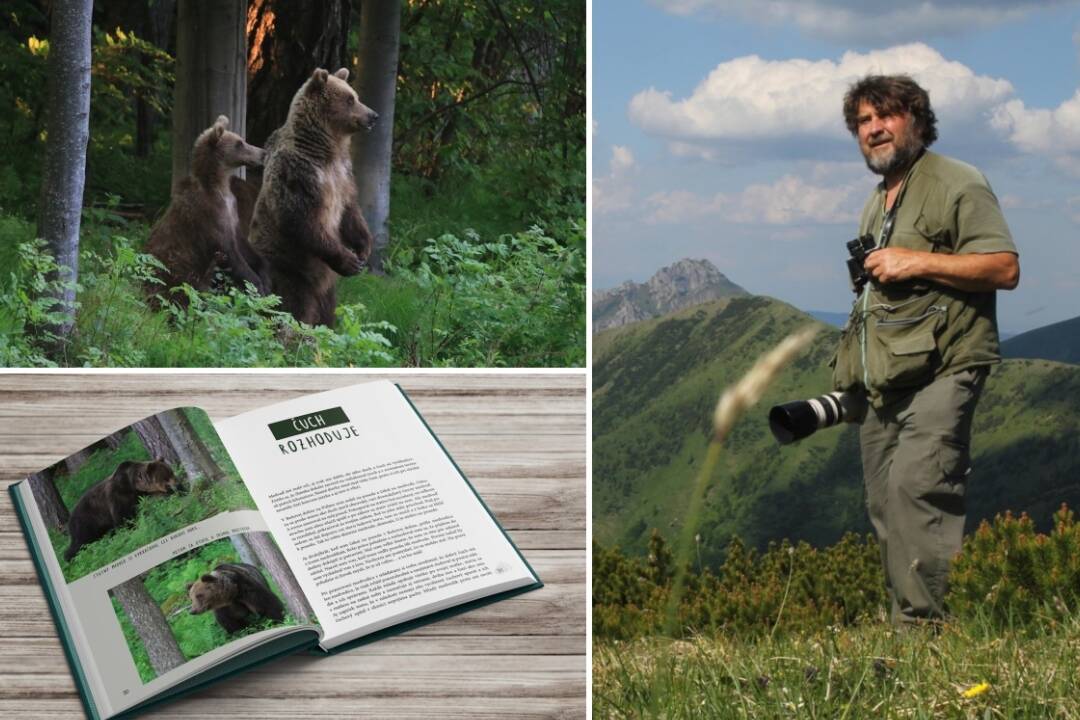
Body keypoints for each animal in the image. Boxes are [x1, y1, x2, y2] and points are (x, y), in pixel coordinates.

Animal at [145, 113, 270, 306]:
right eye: (239, 143)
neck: (219, 185)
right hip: (175, 272)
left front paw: (265, 276)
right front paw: (257, 285)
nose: (263, 153)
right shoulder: (210, 217)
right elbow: (230, 253)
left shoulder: (233, 213)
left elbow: (243, 245)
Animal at [249, 67, 380, 325]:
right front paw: (349, 261)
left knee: (326, 311)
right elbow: (301, 219)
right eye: (350, 99)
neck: (325, 149)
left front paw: (364, 249)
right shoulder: (298, 175)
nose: (373, 115)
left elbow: (350, 212)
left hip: (326, 288)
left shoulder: (343, 175)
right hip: (291, 269)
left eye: (356, 96)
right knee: (293, 307)